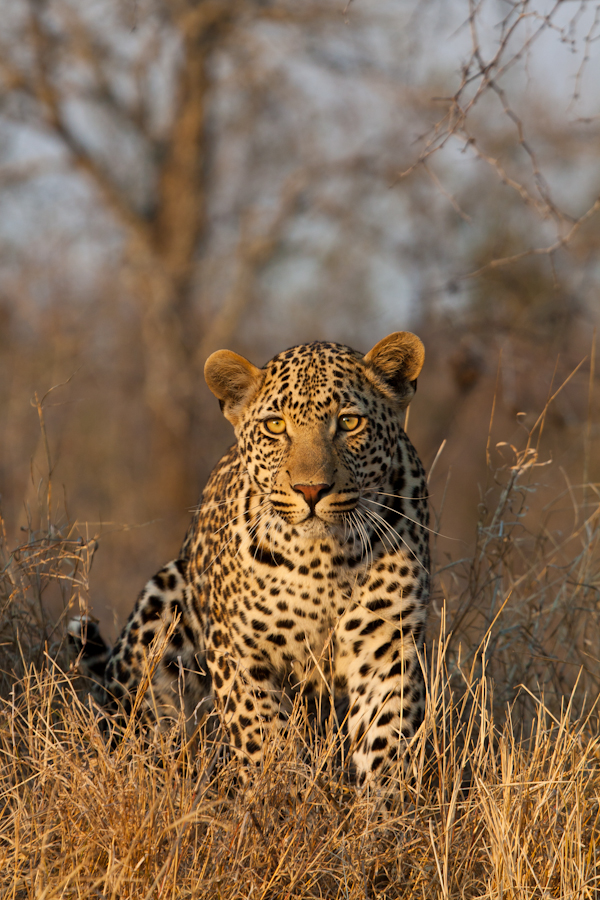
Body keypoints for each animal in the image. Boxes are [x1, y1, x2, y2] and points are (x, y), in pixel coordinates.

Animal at [69, 331, 430, 784]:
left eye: (349, 422)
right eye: (275, 426)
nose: (311, 490)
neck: (324, 560)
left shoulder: (388, 648)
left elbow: (386, 740)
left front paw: (382, 802)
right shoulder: (240, 651)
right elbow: (264, 736)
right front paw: (282, 794)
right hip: (162, 602)